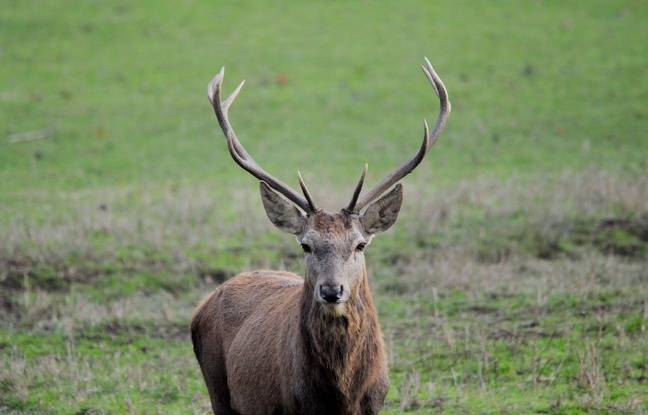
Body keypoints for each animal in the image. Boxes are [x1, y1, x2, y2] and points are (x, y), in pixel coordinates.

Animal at [191, 57, 450, 415]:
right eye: (306, 245)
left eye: (360, 244)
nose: (331, 290)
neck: (340, 396)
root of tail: (202, 306)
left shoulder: (376, 402)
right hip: (218, 388)